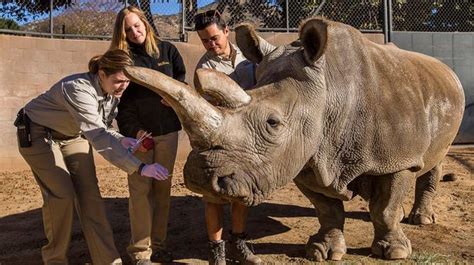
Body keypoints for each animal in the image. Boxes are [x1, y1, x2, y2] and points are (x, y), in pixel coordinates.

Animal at [124, 18, 464, 260]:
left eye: (273, 123)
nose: (201, 178)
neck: (329, 90)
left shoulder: (396, 158)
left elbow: (385, 207)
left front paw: (394, 252)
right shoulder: (305, 156)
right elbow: (327, 209)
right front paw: (322, 251)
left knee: (434, 159)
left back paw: (421, 220)